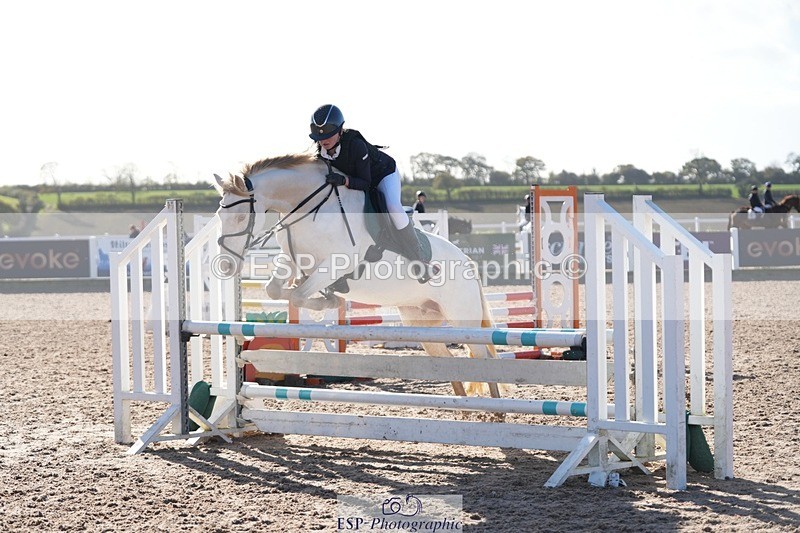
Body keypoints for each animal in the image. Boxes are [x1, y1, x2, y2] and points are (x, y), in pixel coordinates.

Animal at [212, 153, 501, 398]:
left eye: (240, 217)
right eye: (219, 215)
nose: (226, 266)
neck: (308, 206)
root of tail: (468, 262)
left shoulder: (337, 263)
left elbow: (298, 295)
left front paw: (328, 300)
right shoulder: (292, 258)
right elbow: (276, 290)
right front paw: (325, 298)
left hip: (463, 319)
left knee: (483, 356)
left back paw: (496, 412)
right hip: (421, 322)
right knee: (449, 360)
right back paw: (463, 408)